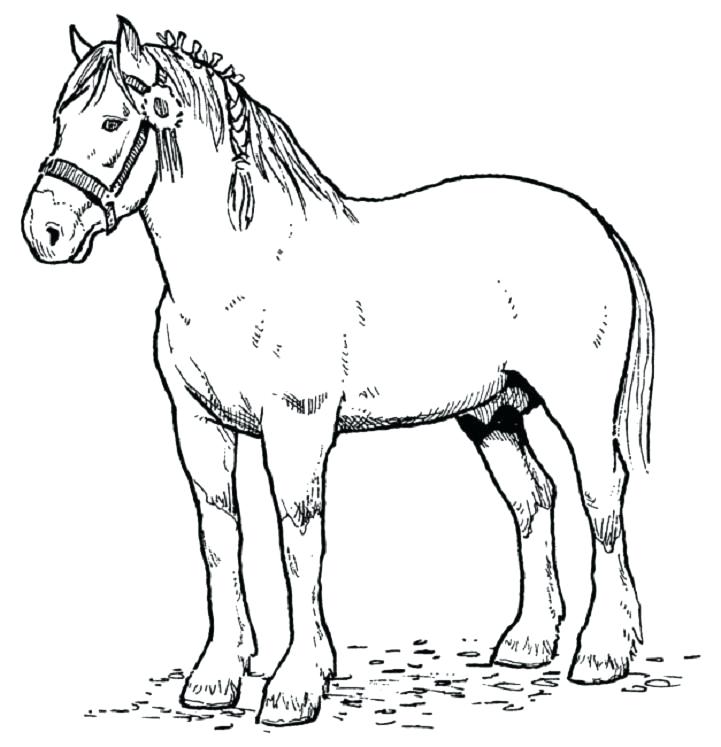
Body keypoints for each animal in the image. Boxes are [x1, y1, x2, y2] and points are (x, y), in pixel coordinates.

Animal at [21, 17, 654, 726]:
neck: (244, 269)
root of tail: (596, 227)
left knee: (602, 497)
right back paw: (528, 642)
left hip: (582, 408)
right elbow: (220, 538)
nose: (44, 230)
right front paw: (217, 676)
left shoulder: (296, 427)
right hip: (490, 414)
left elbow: (299, 542)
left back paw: (603, 652)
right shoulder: (199, 426)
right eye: (59, 118)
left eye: (111, 122)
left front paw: (296, 684)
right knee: (533, 497)